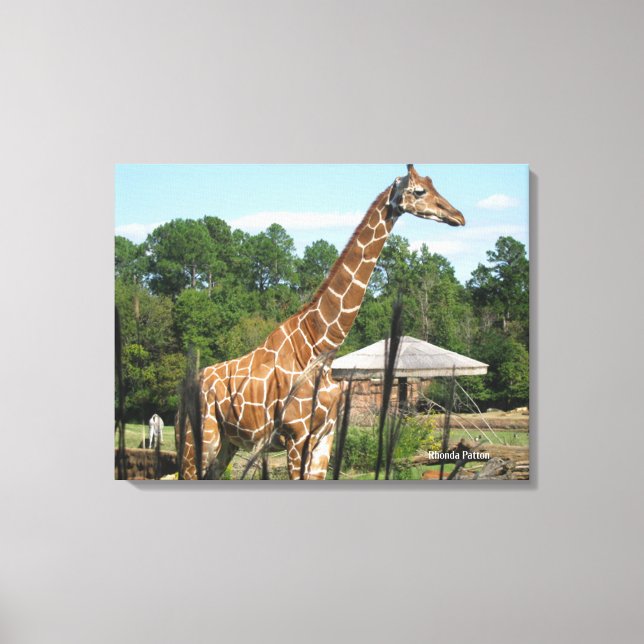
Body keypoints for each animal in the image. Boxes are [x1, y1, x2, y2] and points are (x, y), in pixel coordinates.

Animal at [176, 164, 465, 480]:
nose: (458, 216)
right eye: (420, 191)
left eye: (433, 184)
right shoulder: (296, 436)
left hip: (226, 444)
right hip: (196, 439)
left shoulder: (325, 436)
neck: (322, 344)